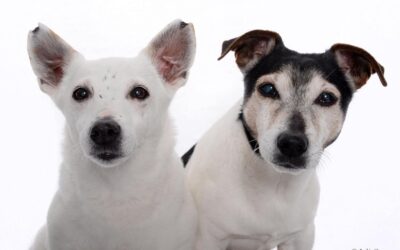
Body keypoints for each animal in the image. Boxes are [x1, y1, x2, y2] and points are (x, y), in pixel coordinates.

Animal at [185, 29, 388, 250]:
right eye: (267, 89)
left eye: (327, 98)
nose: (292, 144)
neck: (275, 183)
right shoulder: (208, 238)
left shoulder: (300, 237)